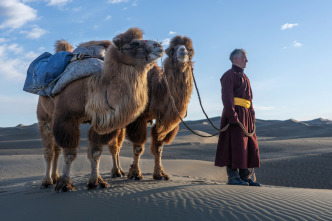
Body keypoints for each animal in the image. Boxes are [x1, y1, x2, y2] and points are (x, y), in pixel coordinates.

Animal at [36, 27, 163, 191]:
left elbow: (95, 152)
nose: (159, 45)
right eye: (134, 43)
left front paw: (96, 181)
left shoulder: (100, 121)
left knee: (56, 149)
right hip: (44, 117)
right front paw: (65, 184)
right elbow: (70, 153)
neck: (92, 90)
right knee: (49, 150)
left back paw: (55, 177)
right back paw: (47, 181)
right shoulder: (66, 118)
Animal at [109, 35, 195, 180]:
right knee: (114, 144)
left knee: (117, 144)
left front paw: (160, 174)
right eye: (172, 50)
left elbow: (158, 147)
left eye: (189, 50)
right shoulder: (138, 119)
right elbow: (138, 147)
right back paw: (116, 172)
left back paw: (120, 171)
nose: (182, 51)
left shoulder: (163, 120)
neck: (156, 90)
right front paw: (135, 174)